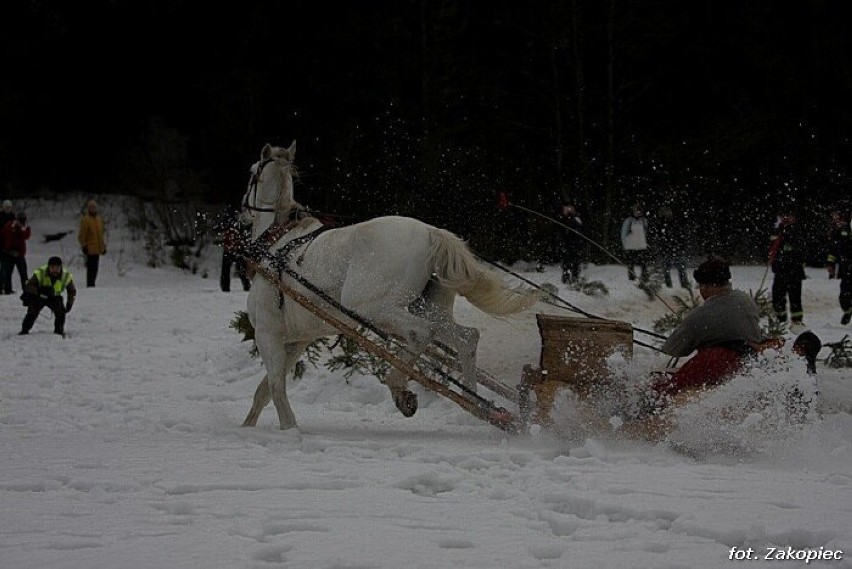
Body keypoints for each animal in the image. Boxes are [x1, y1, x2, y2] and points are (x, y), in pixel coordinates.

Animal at [240, 143, 540, 430]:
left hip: (370, 308)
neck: (276, 243)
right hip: (427, 308)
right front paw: (249, 425)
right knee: (466, 338)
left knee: (421, 333)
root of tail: (431, 232)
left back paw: (399, 387)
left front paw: (288, 427)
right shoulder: (297, 340)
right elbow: (264, 391)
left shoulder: (268, 332)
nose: (243, 209)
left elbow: (275, 387)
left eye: (252, 173)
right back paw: (478, 403)